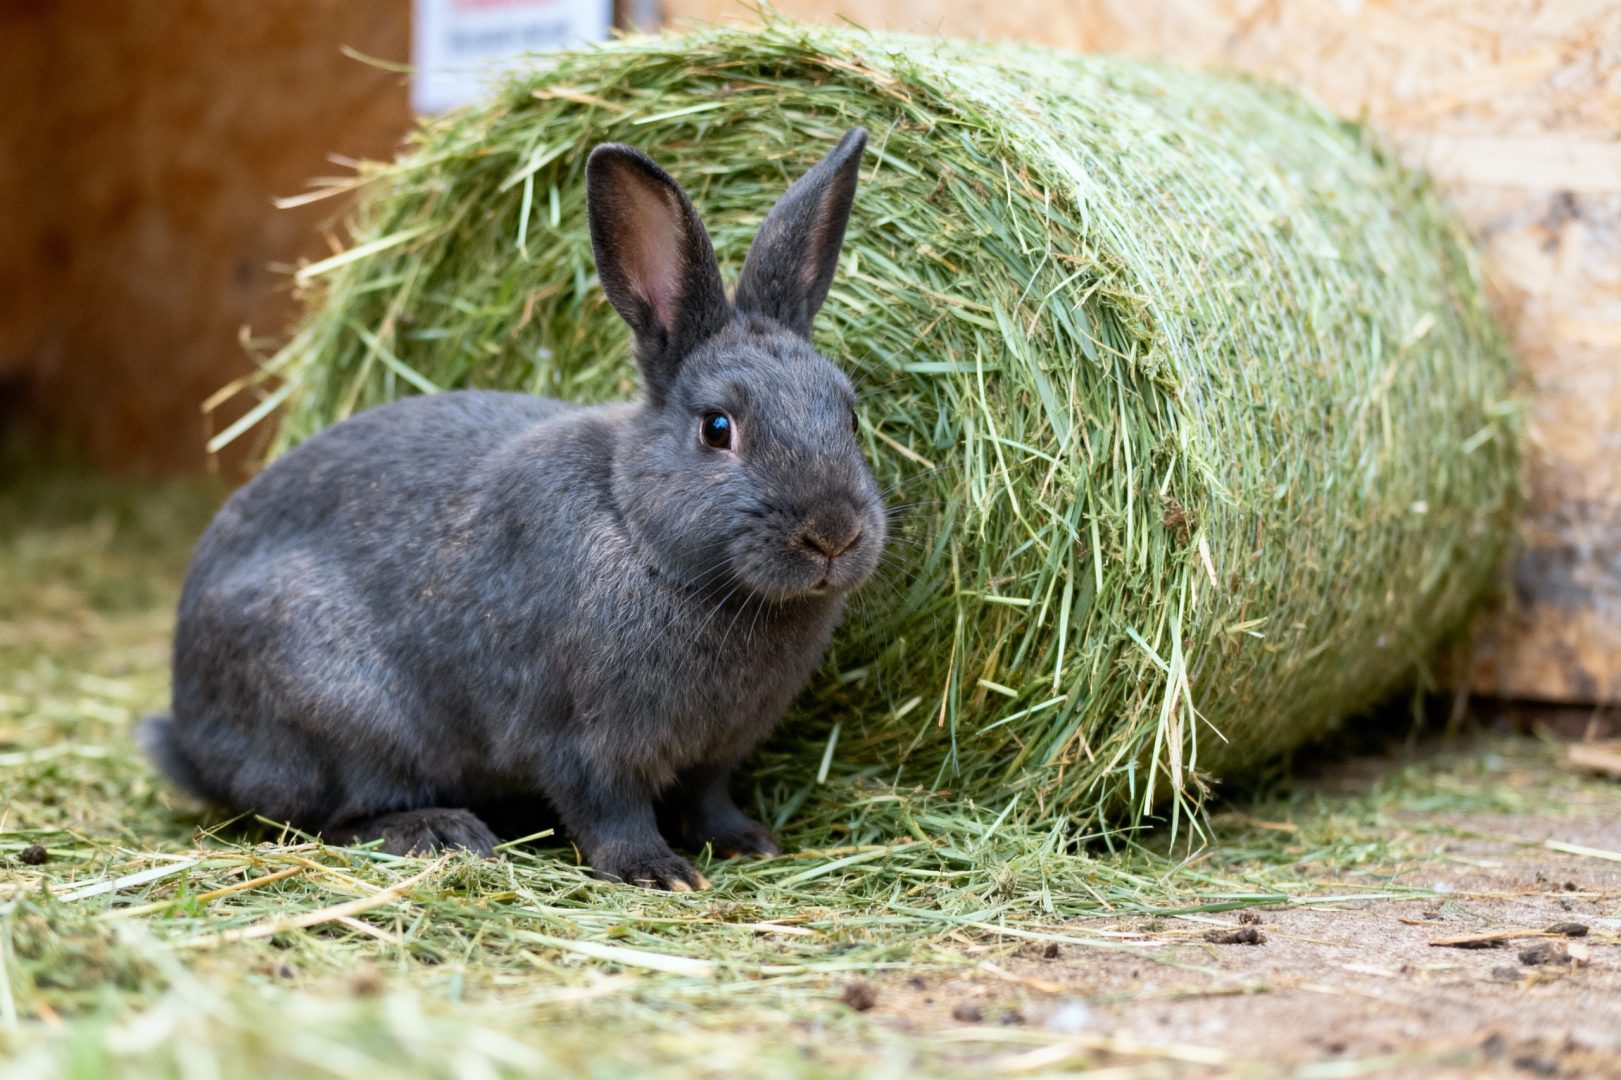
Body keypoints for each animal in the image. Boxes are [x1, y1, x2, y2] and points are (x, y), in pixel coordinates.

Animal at [141, 127, 884, 890]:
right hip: (340, 715)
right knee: (327, 817)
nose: (832, 535)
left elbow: (707, 798)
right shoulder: (580, 739)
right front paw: (656, 872)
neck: (637, 528)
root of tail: (190, 733)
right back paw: (441, 830)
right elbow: (609, 810)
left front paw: (746, 842)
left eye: (850, 417)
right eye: (716, 428)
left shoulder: (715, 752)